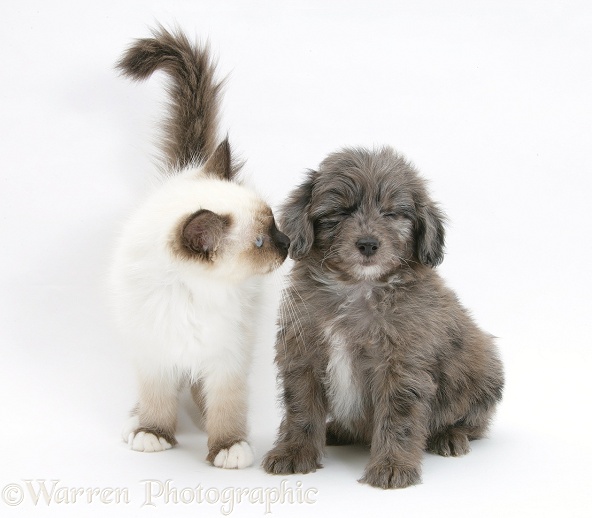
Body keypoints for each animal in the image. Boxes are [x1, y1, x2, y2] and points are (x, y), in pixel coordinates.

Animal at [110, 27, 290, 472]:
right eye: (259, 242)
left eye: (274, 224)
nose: (288, 244)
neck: (196, 293)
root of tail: (186, 169)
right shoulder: (155, 352)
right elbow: (157, 398)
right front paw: (153, 433)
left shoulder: (226, 356)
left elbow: (226, 404)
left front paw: (228, 445)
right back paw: (135, 422)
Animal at [264, 147, 504, 492]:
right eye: (342, 211)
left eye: (391, 214)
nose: (367, 244)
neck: (358, 287)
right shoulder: (302, 353)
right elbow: (300, 408)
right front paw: (295, 451)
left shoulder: (401, 364)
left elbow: (397, 418)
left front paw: (392, 465)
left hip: (485, 368)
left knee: (474, 423)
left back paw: (450, 435)